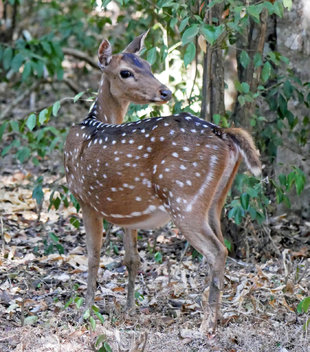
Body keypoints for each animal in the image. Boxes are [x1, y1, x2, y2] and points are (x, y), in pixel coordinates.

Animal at [63, 32, 262, 332]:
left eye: (148, 65)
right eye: (127, 71)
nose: (165, 92)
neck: (93, 122)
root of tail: (225, 133)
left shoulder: (85, 199)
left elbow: (93, 257)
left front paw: (84, 313)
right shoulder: (128, 211)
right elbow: (131, 259)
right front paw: (130, 308)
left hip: (184, 200)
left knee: (217, 251)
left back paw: (206, 325)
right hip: (216, 201)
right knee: (222, 244)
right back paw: (215, 316)